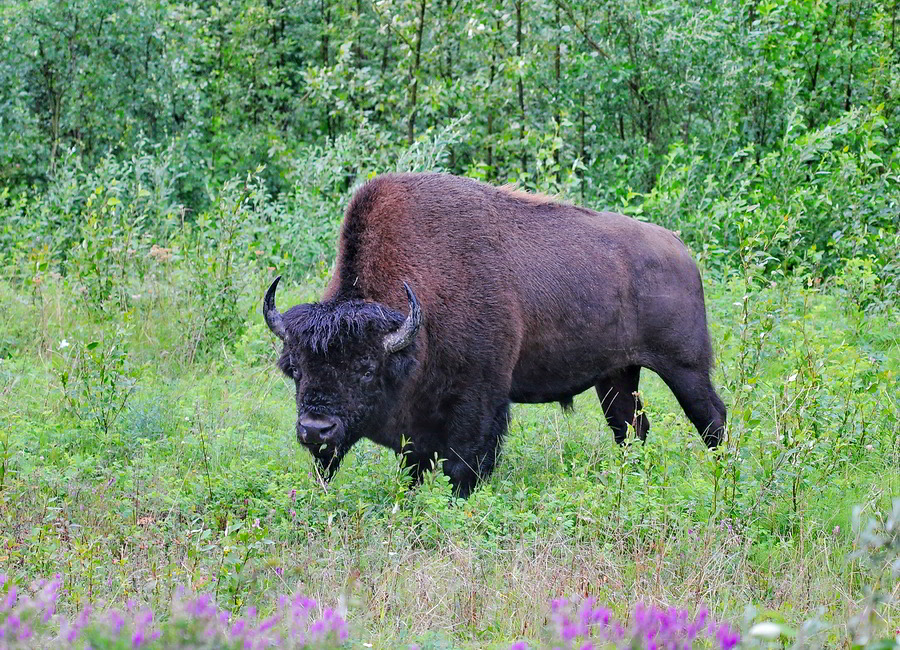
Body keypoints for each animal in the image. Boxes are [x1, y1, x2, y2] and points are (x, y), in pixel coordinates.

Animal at [264, 172, 728, 496]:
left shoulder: (478, 400)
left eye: (364, 367)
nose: (316, 429)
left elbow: (463, 466)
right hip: (616, 375)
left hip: (685, 368)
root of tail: (680, 250)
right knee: (630, 427)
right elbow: (415, 469)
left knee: (711, 418)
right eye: (296, 370)